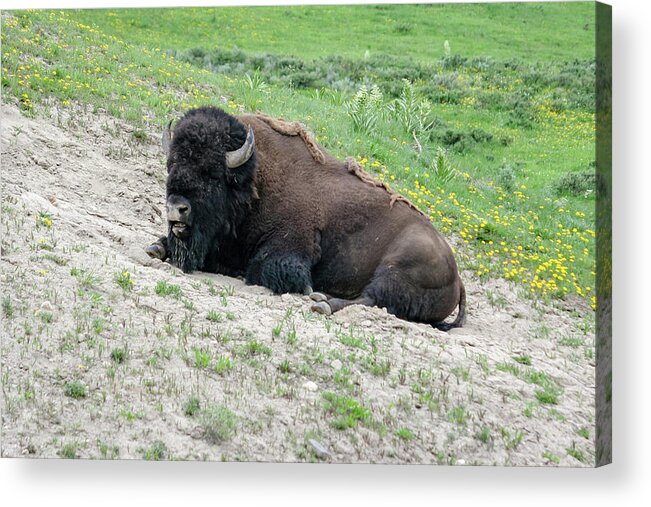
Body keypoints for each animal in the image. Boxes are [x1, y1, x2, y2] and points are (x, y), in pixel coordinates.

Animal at [146, 106, 466, 330]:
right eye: (171, 165)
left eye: (212, 174)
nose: (176, 208)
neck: (255, 179)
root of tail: (458, 276)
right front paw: (157, 247)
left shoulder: (289, 253)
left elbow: (262, 269)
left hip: (396, 270)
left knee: (372, 299)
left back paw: (321, 303)